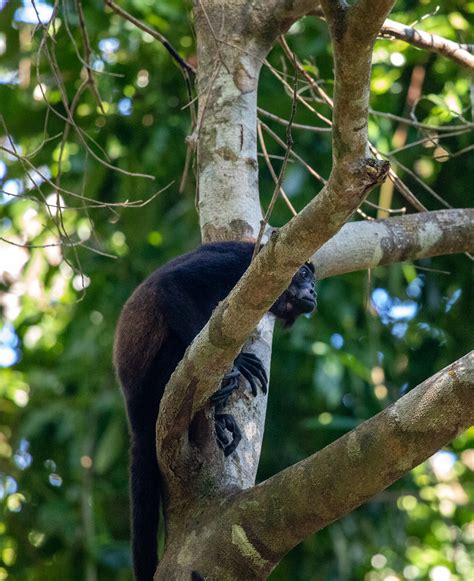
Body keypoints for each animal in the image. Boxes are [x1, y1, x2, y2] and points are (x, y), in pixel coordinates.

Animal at [113, 238, 316, 576]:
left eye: (315, 280)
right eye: (303, 274)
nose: (313, 290)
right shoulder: (239, 262)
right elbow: (172, 284)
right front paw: (238, 363)